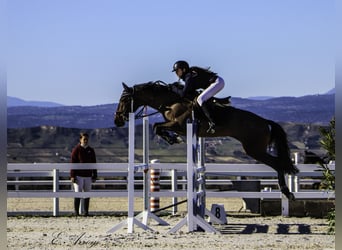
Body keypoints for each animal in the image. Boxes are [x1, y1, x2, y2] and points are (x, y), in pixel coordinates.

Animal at [113, 80, 298, 199]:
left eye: (124, 99)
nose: (117, 120)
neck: (170, 102)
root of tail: (265, 122)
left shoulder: (179, 125)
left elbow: (157, 127)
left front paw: (173, 139)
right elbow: (157, 127)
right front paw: (172, 139)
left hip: (254, 150)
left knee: (278, 164)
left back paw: (287, 192)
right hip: (255, 149)